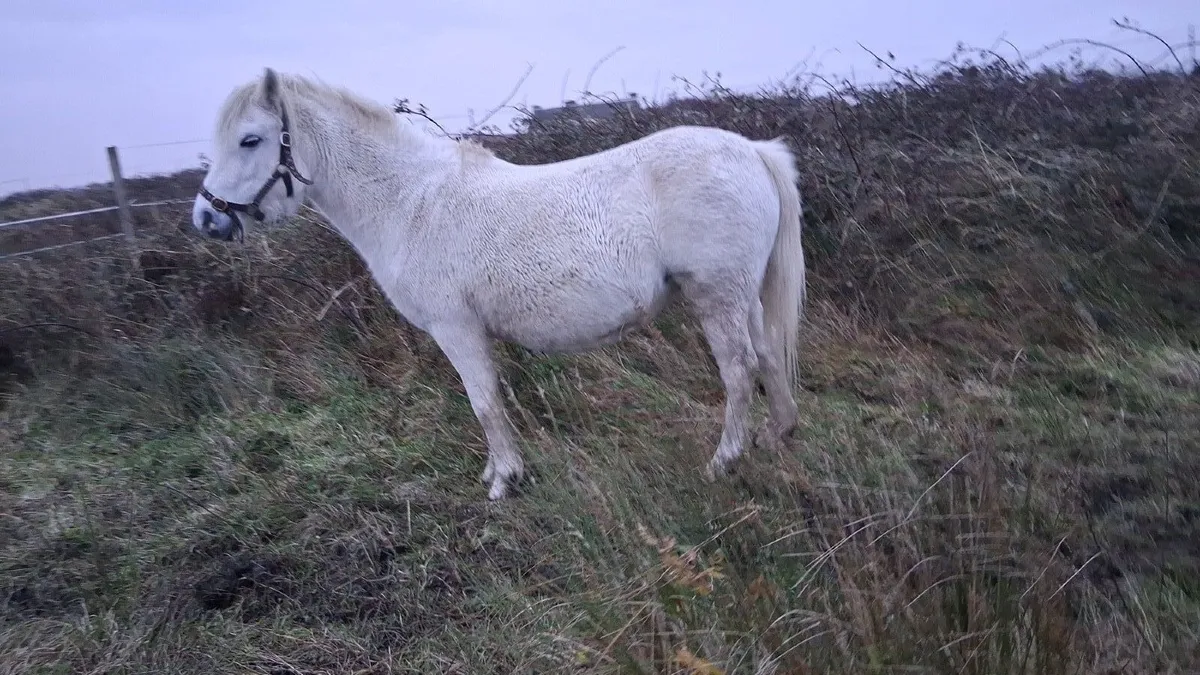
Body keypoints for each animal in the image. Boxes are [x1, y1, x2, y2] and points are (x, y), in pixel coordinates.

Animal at [192, 68, 808, 500]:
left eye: (250, 140)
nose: (206, 219)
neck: (411, 202)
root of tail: (752, 151)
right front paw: (498, 470)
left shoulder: (456, 329)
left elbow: (484, 402)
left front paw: (504, 479)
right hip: (744, 297)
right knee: (767, 357)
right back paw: (777, 438)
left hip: (717, 297)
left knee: (739, 370)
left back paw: (724, 461)